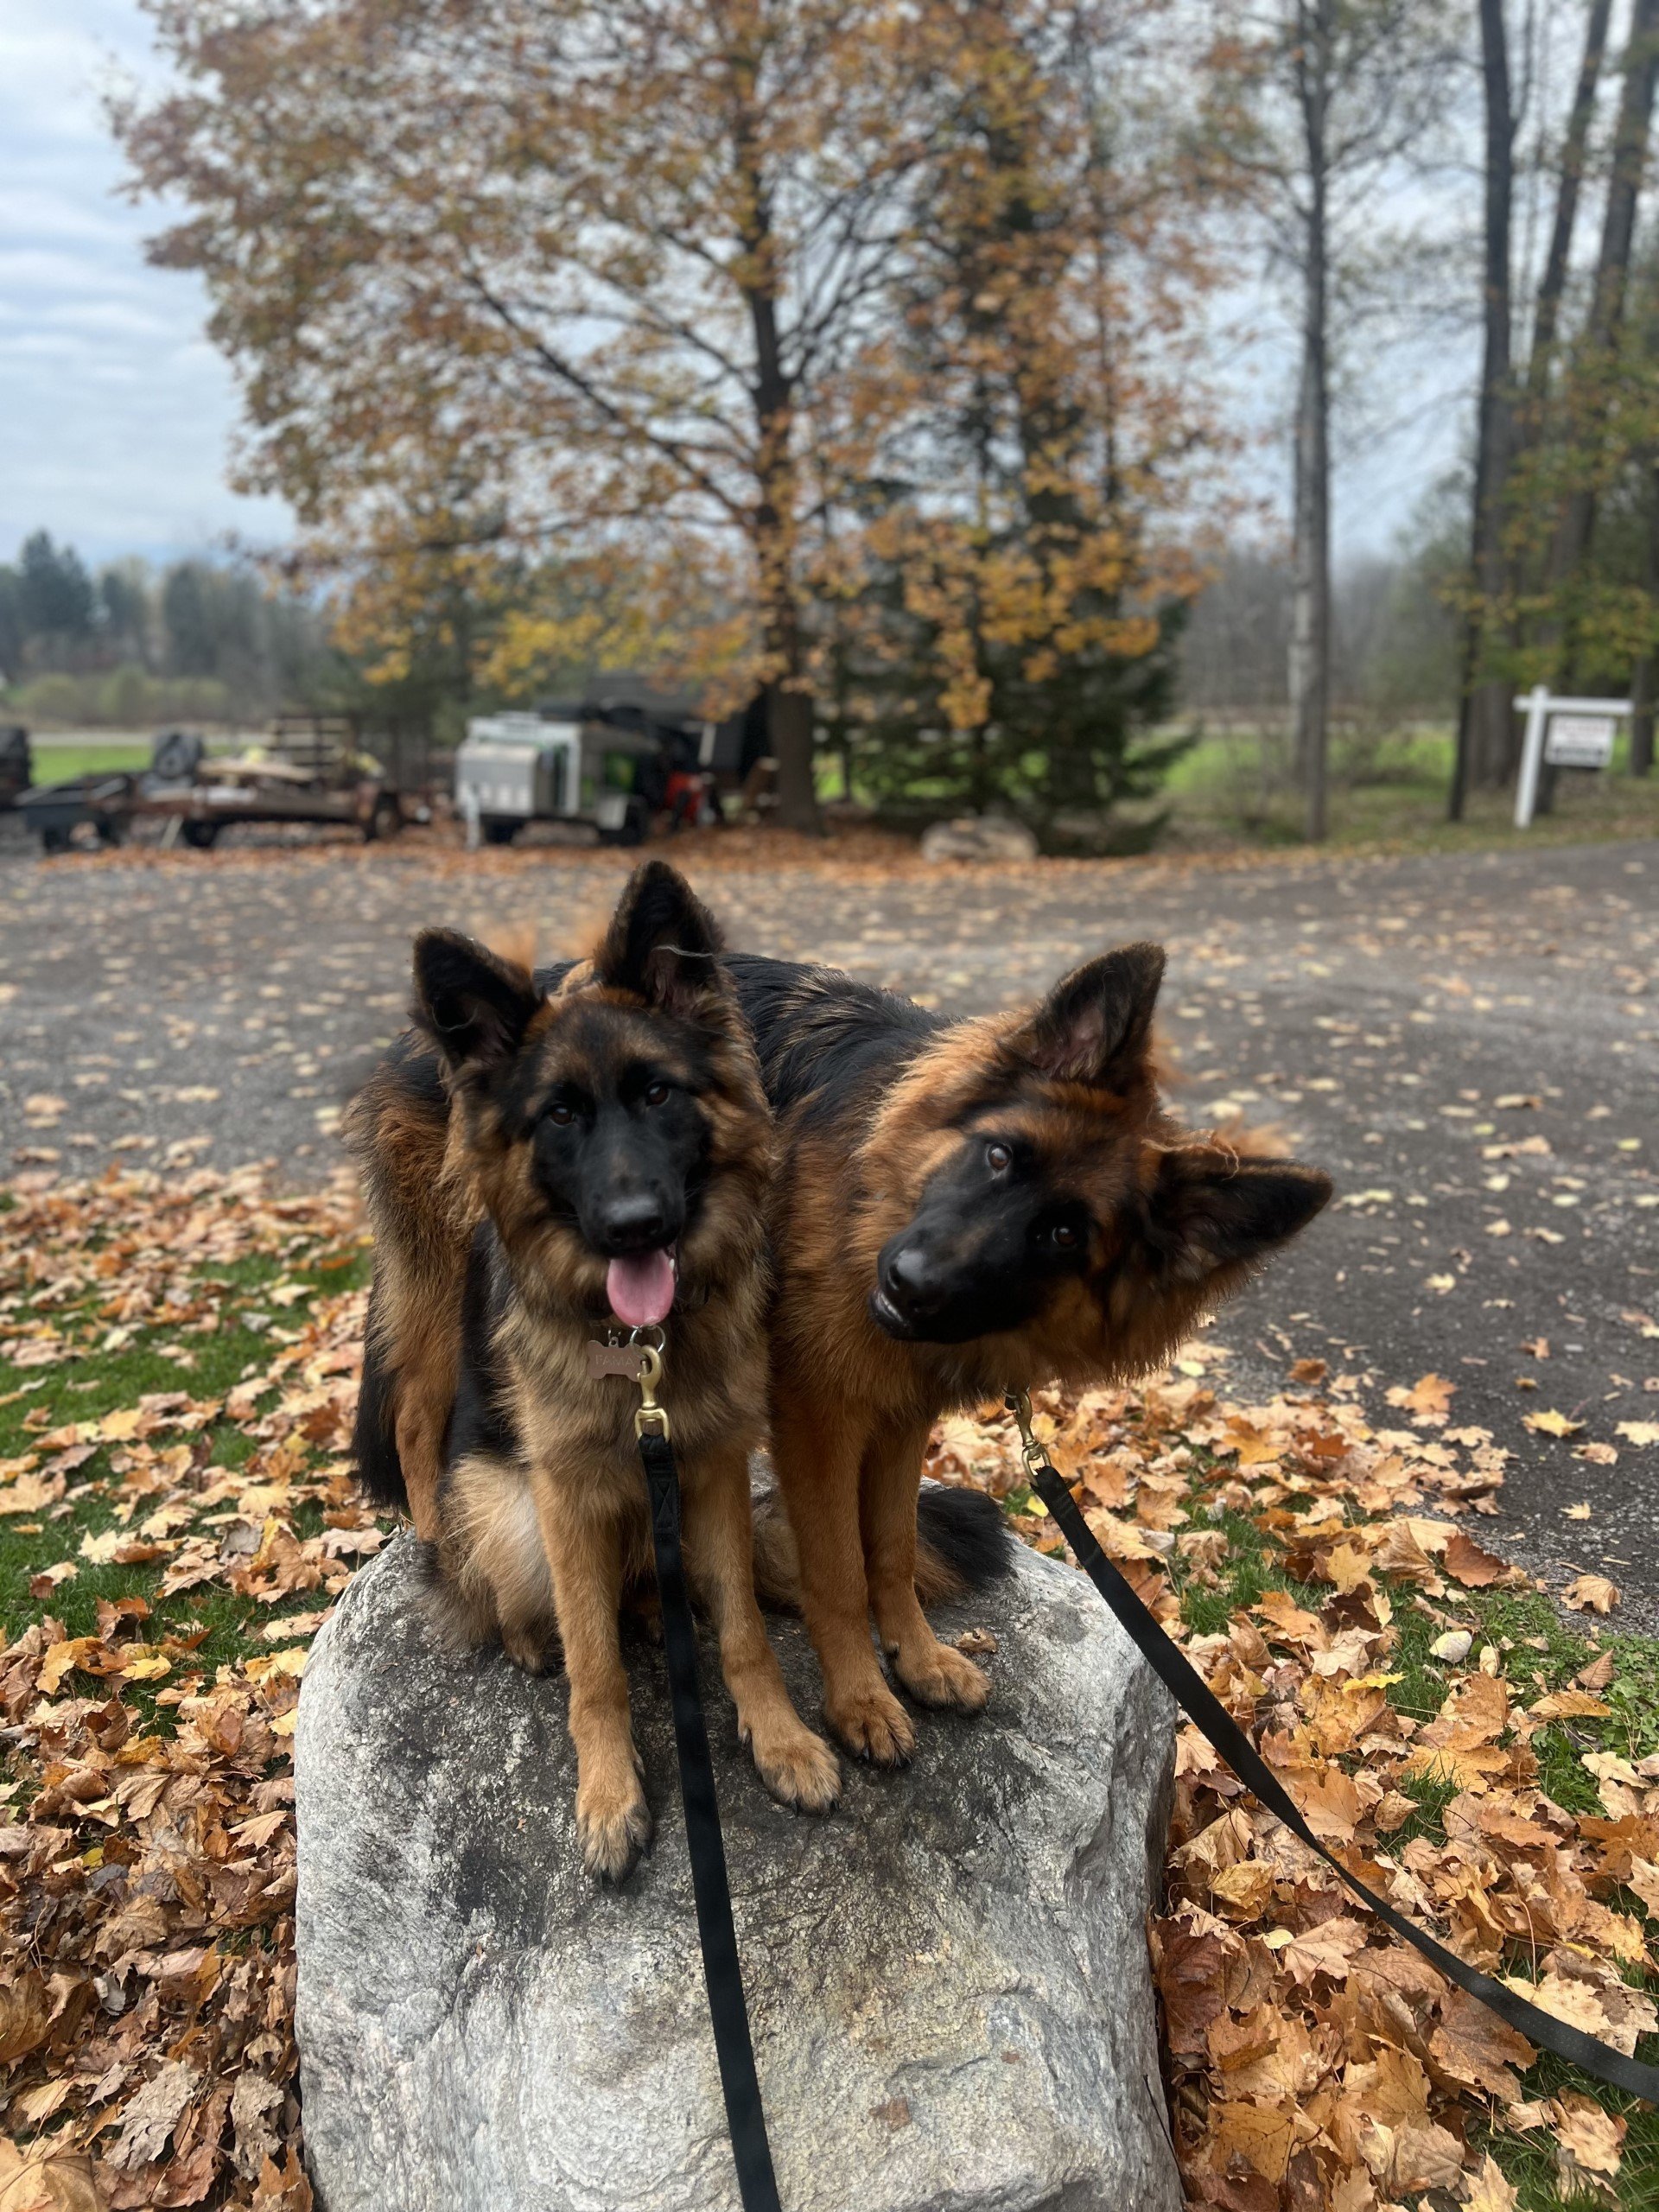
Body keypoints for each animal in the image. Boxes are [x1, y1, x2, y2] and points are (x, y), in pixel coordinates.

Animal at [352, 871, 844, 1875]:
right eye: (561, 1115)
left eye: (658, 1094)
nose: (634, 1226)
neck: (639, 1346)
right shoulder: (566, 1495)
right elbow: (597, 1667)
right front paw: (610, 1793)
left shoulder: (713, 1466)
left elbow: (744, 1631)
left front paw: (780, 1739)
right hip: (497, 1485)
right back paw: (510, 1619)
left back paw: (657, 1608)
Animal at [725, 946, 1336, 1760]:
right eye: (997, 1156)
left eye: (1065, 1236)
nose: (910, 1284)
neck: (870, 1193)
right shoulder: (820, 1419)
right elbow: (839, 1571)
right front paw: (859, 1696)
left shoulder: (899, 1417)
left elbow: (891, 1547)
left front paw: (916, 1657)